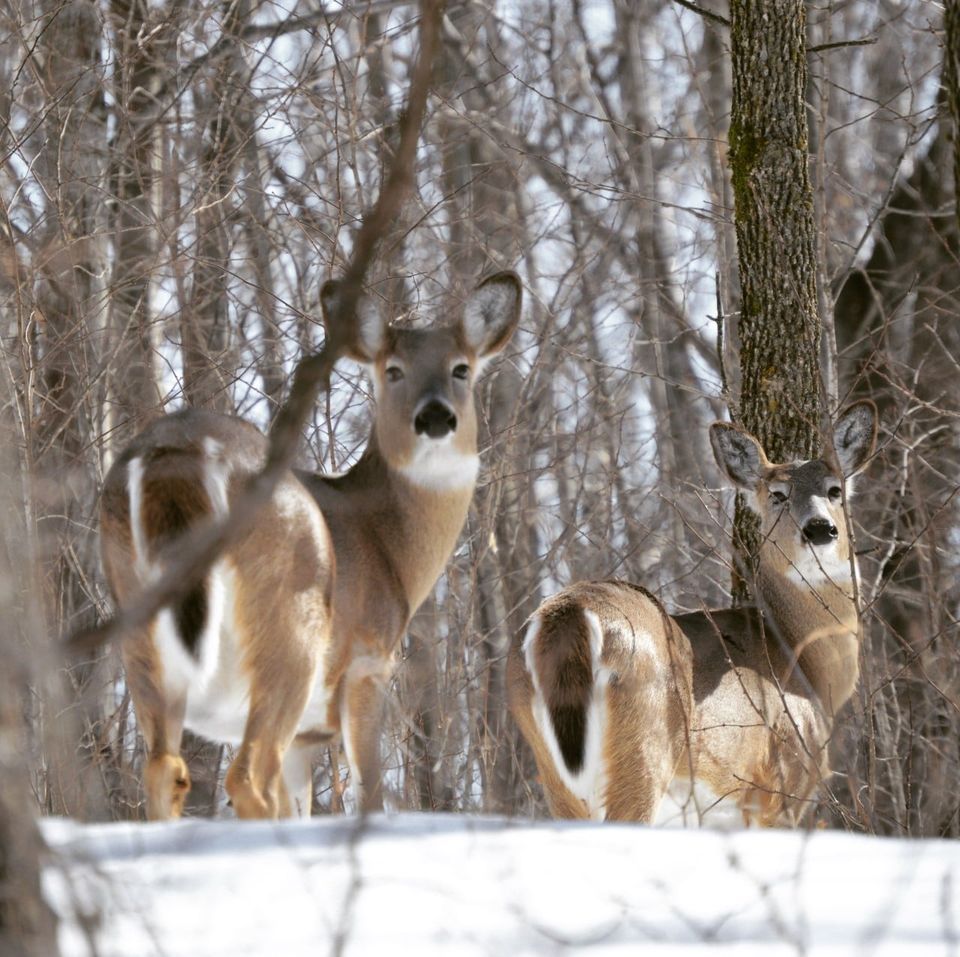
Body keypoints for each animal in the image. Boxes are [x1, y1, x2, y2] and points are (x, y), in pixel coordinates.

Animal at [100, 271, 521, 820]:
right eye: (393, 371)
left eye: (461, 369)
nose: (434, 417)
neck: (389, 548)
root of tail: (175, 454)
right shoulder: (368, 662)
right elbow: (369, 790)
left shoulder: (304, 736)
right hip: (291, 625)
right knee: (246, 776)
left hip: (138, 623)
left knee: (164, 768)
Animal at [508, 403, 877, 826]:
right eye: (778, 495)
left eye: (835, 490)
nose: (819, 529)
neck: (804, 661)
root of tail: (570, 615)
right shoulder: (781, 783)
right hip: (643, 748)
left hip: (555, 772)